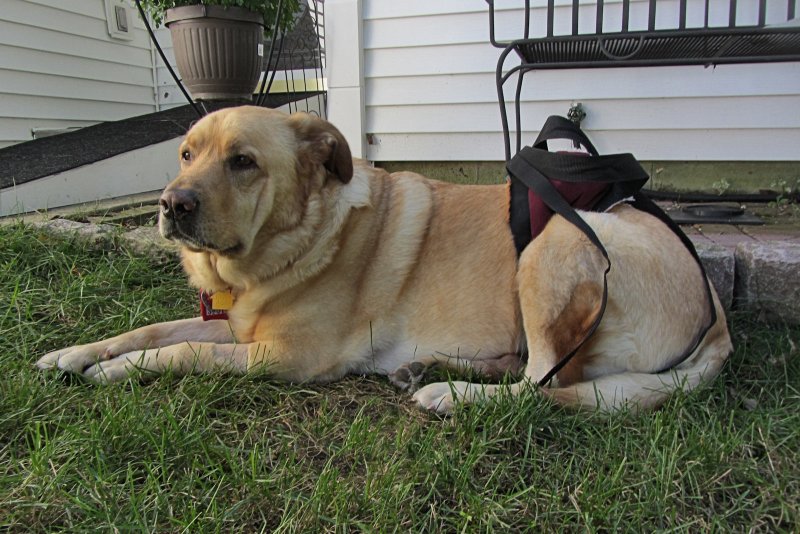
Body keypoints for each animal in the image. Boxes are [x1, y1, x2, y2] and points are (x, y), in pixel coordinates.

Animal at [40, 108, 736, 414]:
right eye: (186, 154)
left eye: (243, 162)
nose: (170, 204)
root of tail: (718, 316)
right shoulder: (235, 325)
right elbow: (153, 328)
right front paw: (75, 353)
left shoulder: (284, 358)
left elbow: (184, 351)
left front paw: (118, 370)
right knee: (529, 371)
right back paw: (426, 366)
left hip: (556, 245)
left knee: (543, 386)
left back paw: (449, 392)